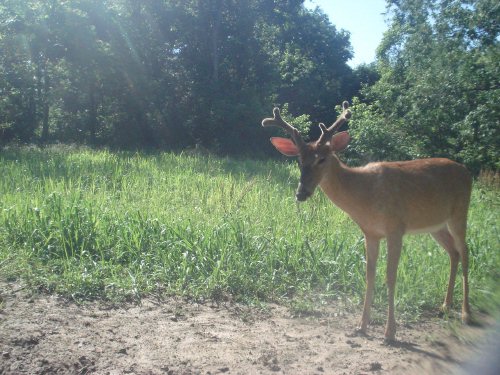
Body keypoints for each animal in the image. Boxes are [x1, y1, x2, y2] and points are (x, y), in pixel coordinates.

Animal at [262, 101, 472, 342]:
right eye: (299, 160)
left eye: (322, 159)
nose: (301, 193)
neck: (365, 194)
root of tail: (466, 171)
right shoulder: (370, 233)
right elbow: (370, 275)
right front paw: (361, 325)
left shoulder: (395, 228)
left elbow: (390, 276)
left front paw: (390, 332)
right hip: (436, 225)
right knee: (453, 253)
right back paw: (445, 306)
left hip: (460, 213)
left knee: (465, 252)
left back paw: (466, 313)